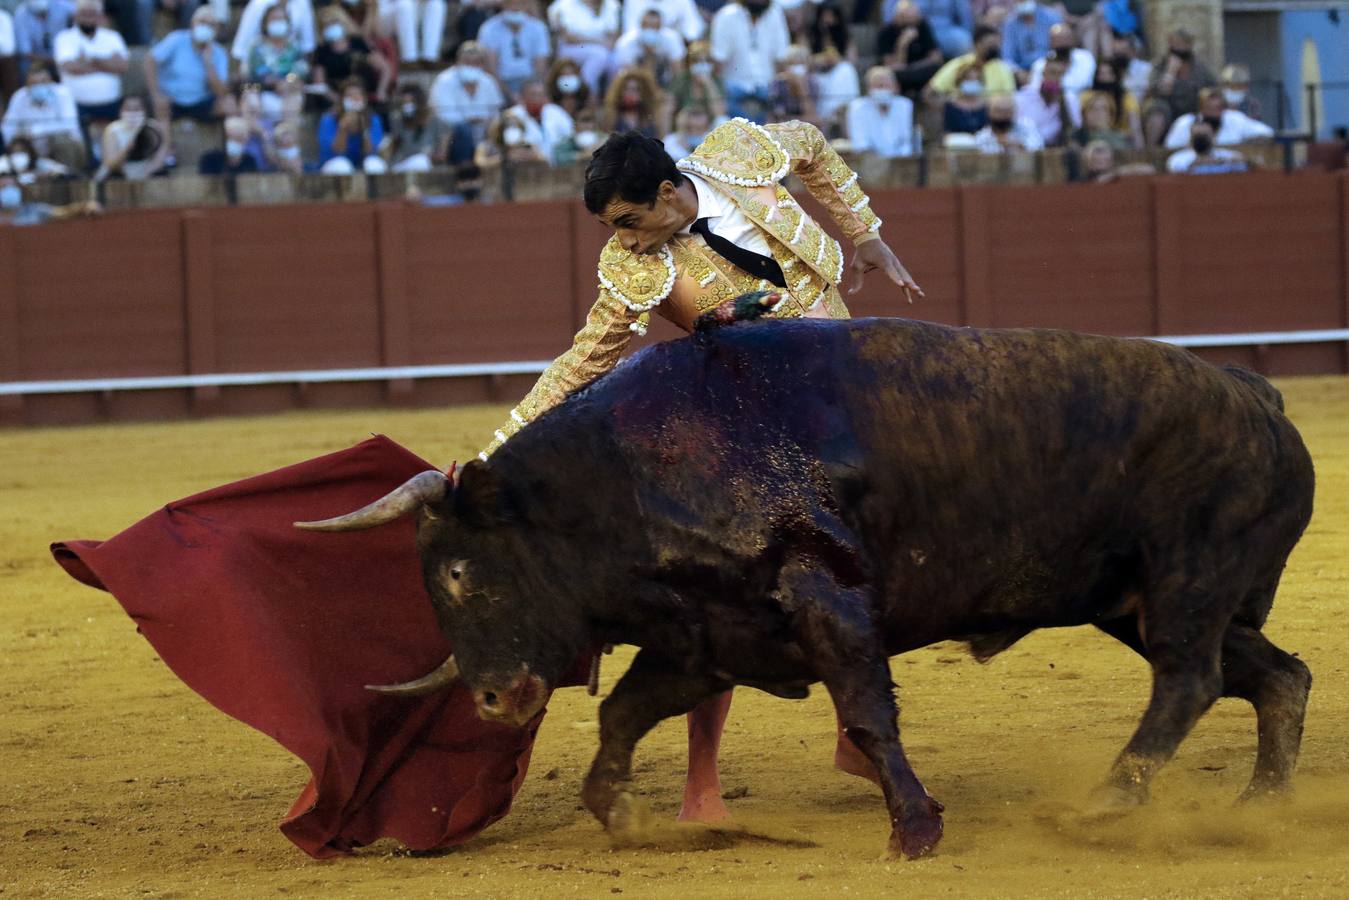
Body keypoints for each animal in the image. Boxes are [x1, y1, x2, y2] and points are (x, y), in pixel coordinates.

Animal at [292, 302, 1305, 858]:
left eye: (462, 571)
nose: (494, 700)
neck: (627, 473)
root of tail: (1255, 393)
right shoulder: (706, 637)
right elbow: (622, 713)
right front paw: (628, 817)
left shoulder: (828, 600)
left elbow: (864, 714)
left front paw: (914, 832)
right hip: (1137, 601)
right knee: (1273, 676)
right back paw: (1259, 805)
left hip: (1186, 580)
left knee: (1191, 680)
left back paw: (1109, 801)